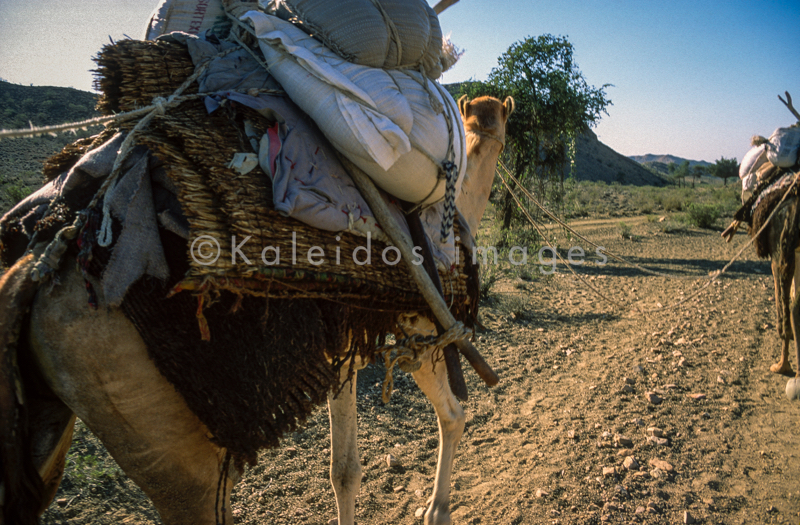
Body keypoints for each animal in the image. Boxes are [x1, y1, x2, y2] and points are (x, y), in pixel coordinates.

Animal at [0, 94, 512, 524]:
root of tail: (39, 267)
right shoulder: (411, 329)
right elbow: (357, 463)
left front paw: (436, 509)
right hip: (172, 448)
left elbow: (421, 427)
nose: (487, 137)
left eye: (498, 127)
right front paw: (437, 511)